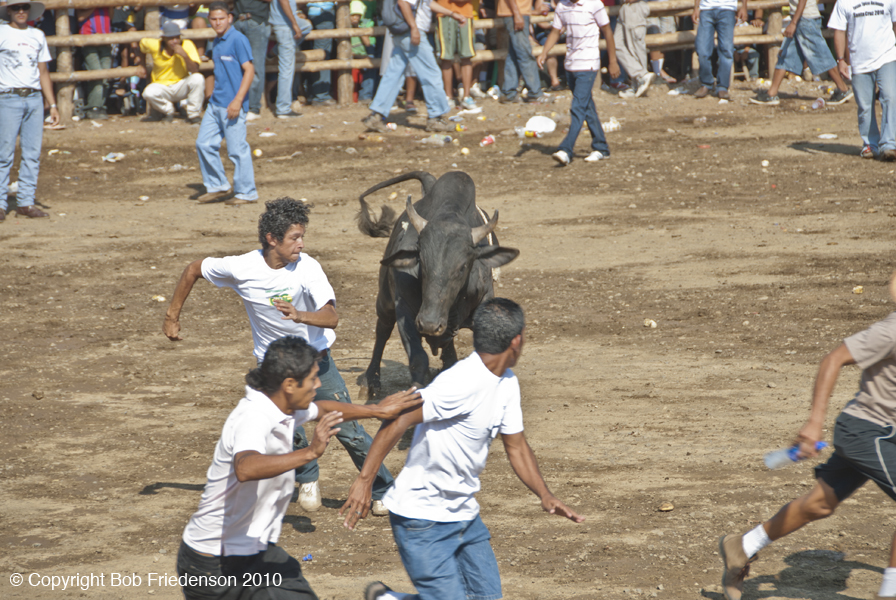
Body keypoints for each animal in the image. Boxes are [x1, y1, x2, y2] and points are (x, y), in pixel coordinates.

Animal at [354, 171, 516, 392]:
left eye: (463, 266)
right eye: (421, 260)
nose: (429, 324)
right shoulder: (405, 311)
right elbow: (418, 358)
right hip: (385, 301)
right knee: (383, 330)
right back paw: (371, 381)